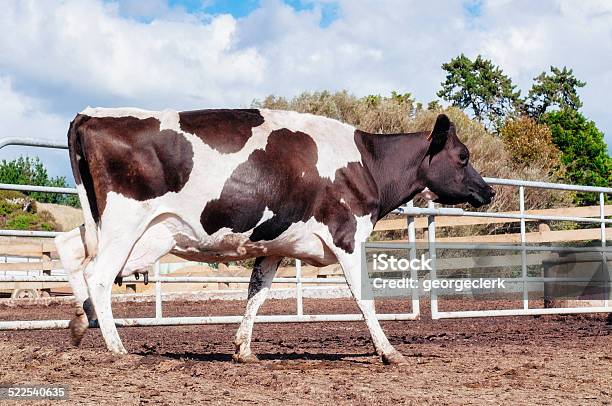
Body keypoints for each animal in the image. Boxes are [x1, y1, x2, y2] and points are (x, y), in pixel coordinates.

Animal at [51, 105, 492, 364]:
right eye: (463, 156)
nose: (488, 191)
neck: (365, 162)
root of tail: (92, 115)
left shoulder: (275, 244)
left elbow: (256, 294)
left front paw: (243, 350)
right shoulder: (348, 234)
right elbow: (364, 297)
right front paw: (389, 352)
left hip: (124, 229)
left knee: (70, 248)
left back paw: (81, 321)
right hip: (126, 224)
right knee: (98, 274)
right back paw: (117, 347)